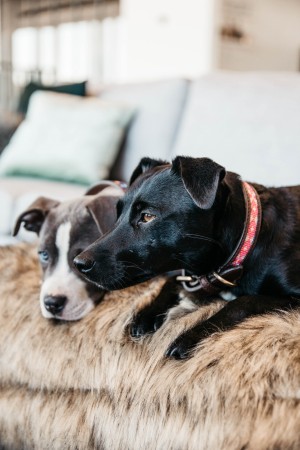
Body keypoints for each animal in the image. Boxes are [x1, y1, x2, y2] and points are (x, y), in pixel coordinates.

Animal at [74, 158, 300, 358]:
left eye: (147, 216)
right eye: (117, 213)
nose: (78, 263)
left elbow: (243, 301)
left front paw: (190, 337)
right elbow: (170, 282)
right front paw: (147, 314)